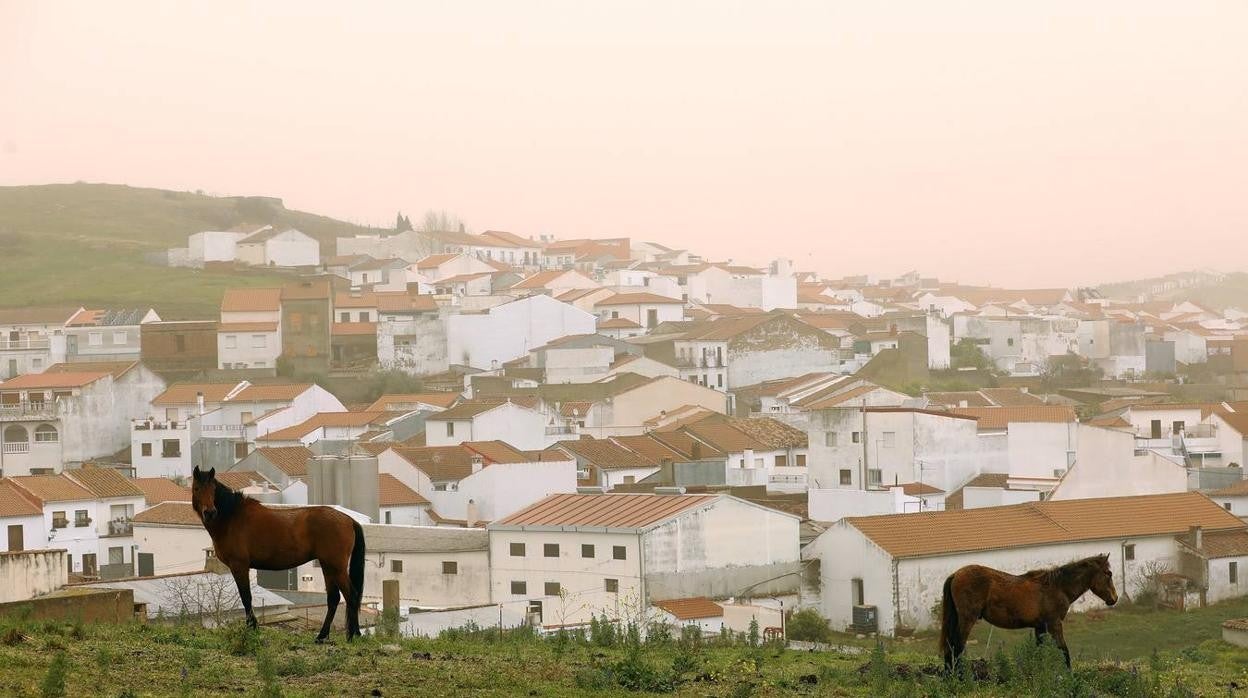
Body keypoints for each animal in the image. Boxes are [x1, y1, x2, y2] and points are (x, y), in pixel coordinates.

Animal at [189, 466, 364, 644]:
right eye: (197, 488)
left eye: (213, 490)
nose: (210, 512)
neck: (232, 518)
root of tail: (349, 520)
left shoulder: (239, 566)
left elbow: (246, 597)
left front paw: (252, 629)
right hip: (327, 566)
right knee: (334, 598)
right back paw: (322, 636)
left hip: (336, 567)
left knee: (351, 595)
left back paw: (353, 635)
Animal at [938, 551, 1118, 674]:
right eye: (1108, 573)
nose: (1114, 598)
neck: (1058, 587)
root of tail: (956, 574)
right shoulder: (1054, 624)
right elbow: (1063, 650)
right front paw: (1069, 675)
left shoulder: (1040, 627)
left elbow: (1039, 652)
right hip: (967, 619)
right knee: (957, 645)